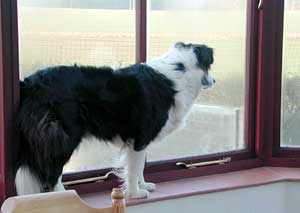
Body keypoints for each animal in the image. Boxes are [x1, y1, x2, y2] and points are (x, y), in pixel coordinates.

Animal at [15, 41, 214, 198]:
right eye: (209, 66)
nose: (214, 81)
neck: (179, 68)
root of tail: (29, 83)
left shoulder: (139, 140)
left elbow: (140, 167)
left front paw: (143, 185)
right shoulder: (141, 136)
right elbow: (134, 169)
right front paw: (135, 193)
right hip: (64, 135)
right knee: (52, 174)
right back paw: (64, 196)